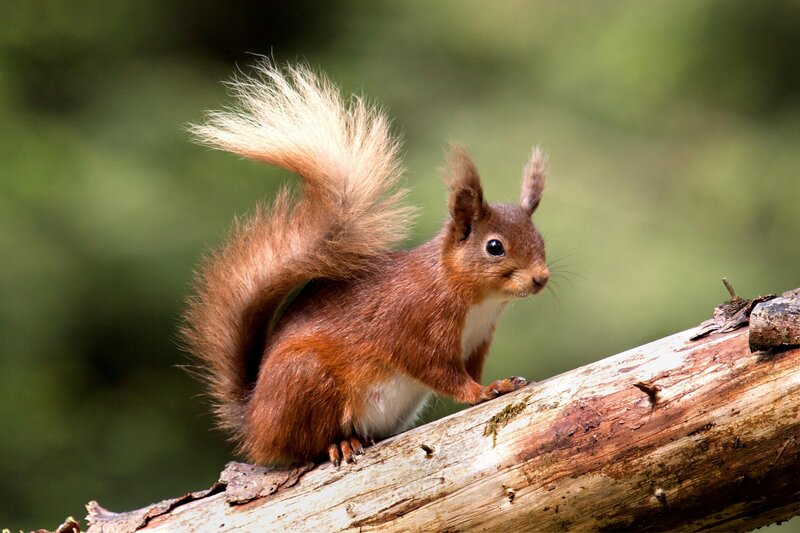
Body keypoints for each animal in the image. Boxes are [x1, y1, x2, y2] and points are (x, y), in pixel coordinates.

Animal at [183, 63, 549, 466]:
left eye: (541, 240)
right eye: (494, 247)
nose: (541, 279)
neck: (475, 299)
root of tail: (255, 426)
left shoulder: (478, 341)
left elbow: (471, 369)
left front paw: (499, 382)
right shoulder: (414, 323)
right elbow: (439, 371)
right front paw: (481, 391)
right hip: (306, 379)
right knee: (307, 445)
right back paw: (340, 443)